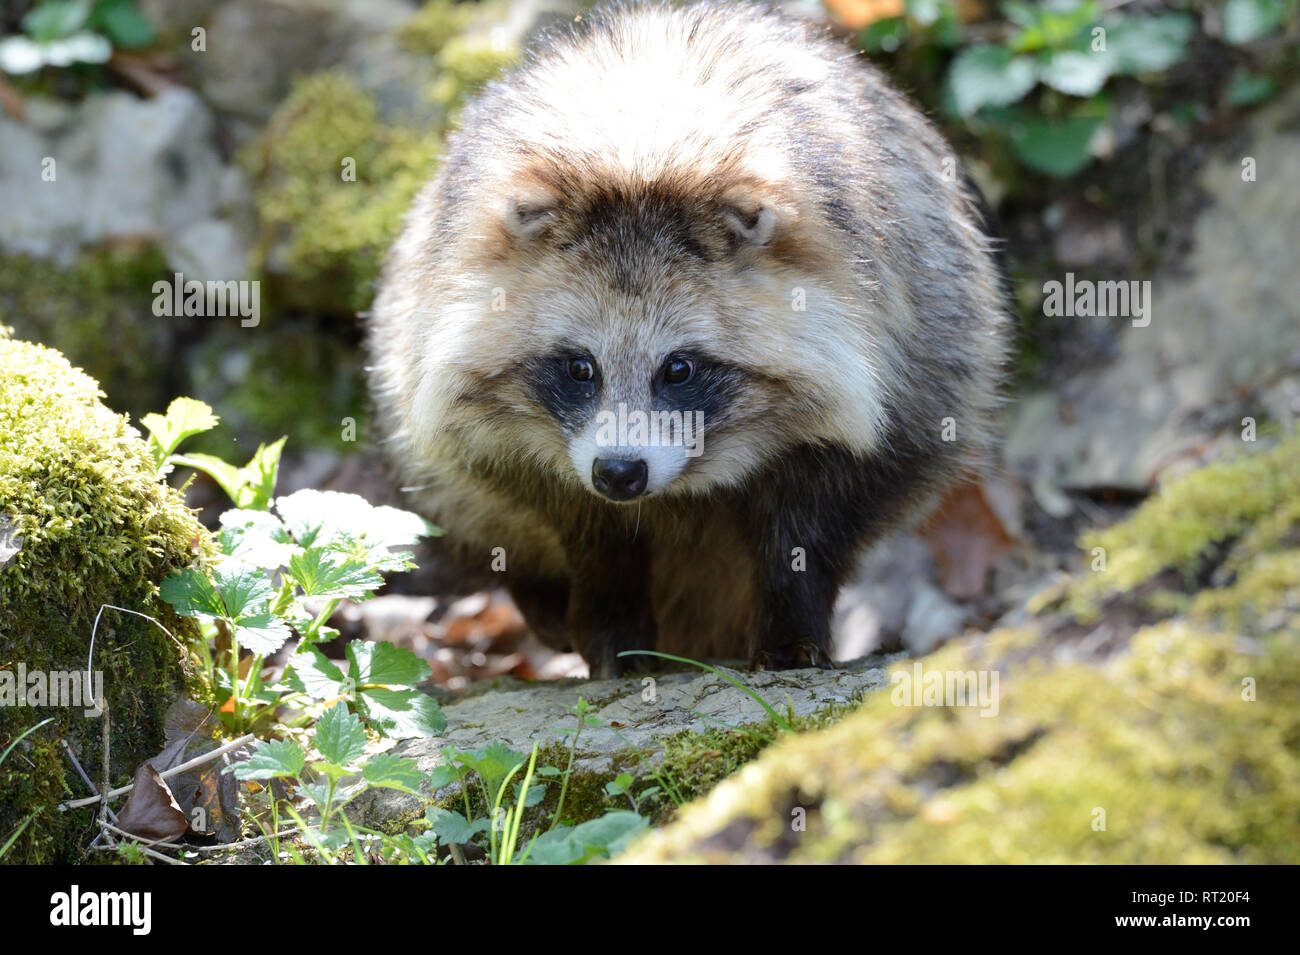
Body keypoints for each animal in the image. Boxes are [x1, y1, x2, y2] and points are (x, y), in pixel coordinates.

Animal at [366, 0, 1003, 675]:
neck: (643, 145)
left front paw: (791, 618)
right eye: (579, 367)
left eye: (679, 369)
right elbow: (581, 522)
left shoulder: (913, 350)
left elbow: (822, 517)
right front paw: (612, 616)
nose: (619, 473)